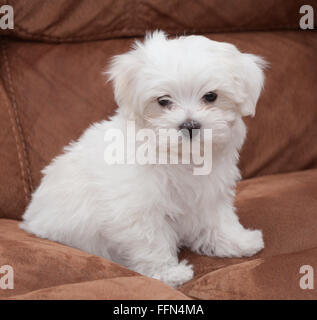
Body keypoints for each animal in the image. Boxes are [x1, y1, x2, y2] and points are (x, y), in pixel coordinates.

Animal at [21, 31, 266, 288]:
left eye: (211, 96)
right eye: (163, 101)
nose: (189, 125)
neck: (179, 157)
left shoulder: (210, 193)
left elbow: (218, 219)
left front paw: (237, 241)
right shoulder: (138, 207)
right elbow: (151, 239)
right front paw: (167, 272)